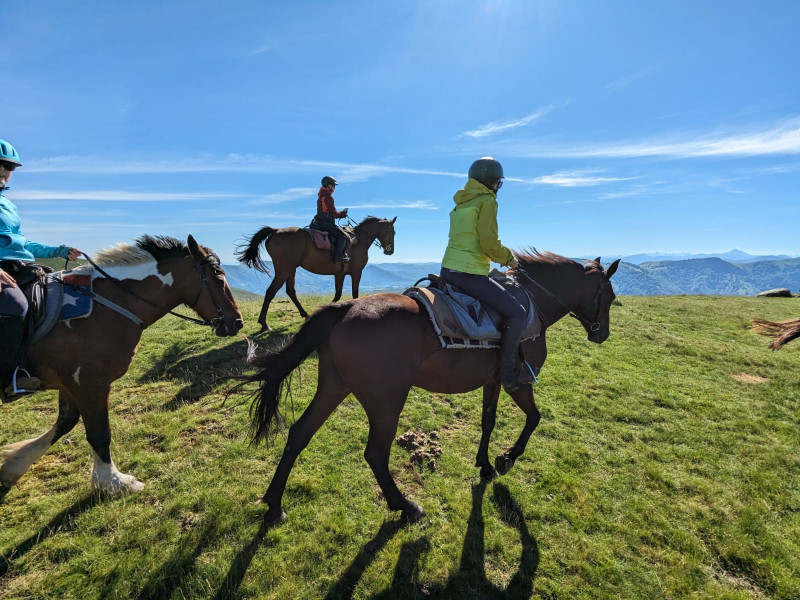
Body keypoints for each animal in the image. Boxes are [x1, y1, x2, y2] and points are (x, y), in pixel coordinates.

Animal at [0, 237, 244, 500]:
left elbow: (66, 423)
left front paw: (14, 464)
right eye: (218, 277)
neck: (109, 304)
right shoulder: (91, 383)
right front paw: (114, 482)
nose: (237, 322)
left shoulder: (71, 383)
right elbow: (99, 434)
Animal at [238, 214, 400, 330]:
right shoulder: (356, 272)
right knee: (271, 292)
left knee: (291, 291)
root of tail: (275, 231)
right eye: (392, 231)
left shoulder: (340, 274)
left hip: (290, 269)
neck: (359, 240)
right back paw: (264, 324)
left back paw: (305, 314)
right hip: (284, 270)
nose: (390, 251)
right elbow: (354, 295)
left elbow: (338, 294)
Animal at [244, 251, 624, 524]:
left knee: (299, 433)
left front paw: (485, 464)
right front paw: (506, 458)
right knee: (375, 453)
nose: (602, 334)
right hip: (386, 401)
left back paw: (274, 505)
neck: (531, 304)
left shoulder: (493, 381)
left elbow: (488, 421)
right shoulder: (519, 381)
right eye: (609, 296)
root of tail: (347, 307)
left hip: (334, 387)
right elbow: (534, 418)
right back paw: (405, 506)